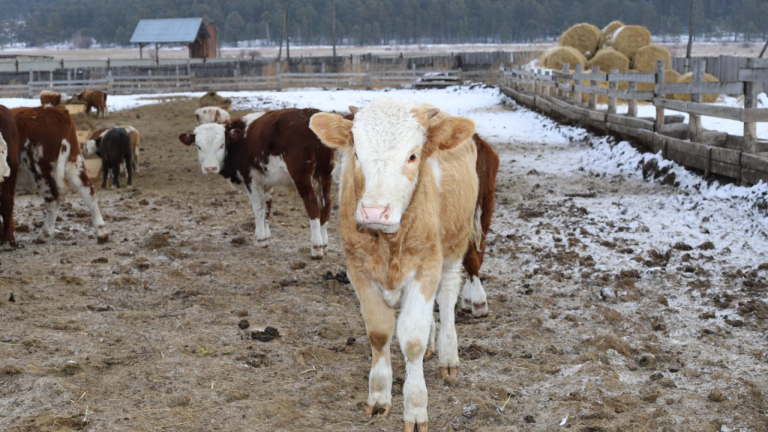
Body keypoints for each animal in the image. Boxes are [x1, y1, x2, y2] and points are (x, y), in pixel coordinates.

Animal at [12, 105, 108, 243]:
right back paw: (102, 231)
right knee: (87, 189)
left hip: (41, 169)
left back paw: (44, 234)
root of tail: (57, 111)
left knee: (53, 198)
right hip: (74, 162)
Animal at [182, 109, 338, 258]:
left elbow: (258, 208)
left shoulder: (251, 180)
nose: (210, 168)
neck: (239, 142)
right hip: (324, 175)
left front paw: (260, 239)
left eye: (221, 145)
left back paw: (316, 247)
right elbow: (266, 208)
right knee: (326, 204)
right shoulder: (266, 182)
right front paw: (266, 237)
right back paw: (324, 245)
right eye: (198, 146)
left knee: (312, 203)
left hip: (302, 177)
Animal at [308, 98, 476, 432]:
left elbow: (412, 339)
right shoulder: (358, 270)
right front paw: (379, 396)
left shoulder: (427, 265)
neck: (387, 243)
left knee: (448, 293)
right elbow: (379, 332)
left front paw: (415, 407)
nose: (374, 211)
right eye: (356, 154)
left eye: (412, 156)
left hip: (456, 243)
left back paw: (448, 355)